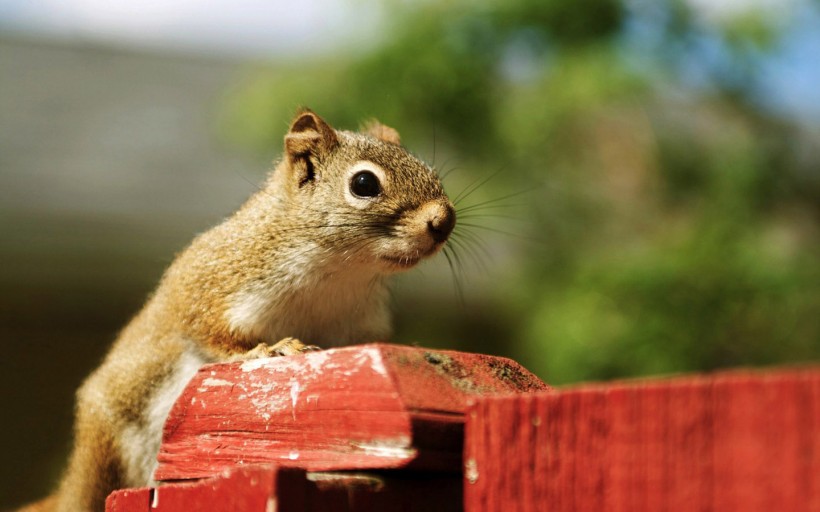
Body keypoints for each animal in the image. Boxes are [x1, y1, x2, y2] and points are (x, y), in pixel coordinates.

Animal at [20, 110, 454, 510]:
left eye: (431, 172)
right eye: (364, 184)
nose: (444, 220)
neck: (339, 272)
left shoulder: (359, 325)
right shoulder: (211, 286)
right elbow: (209, 332)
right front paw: (268, 349)